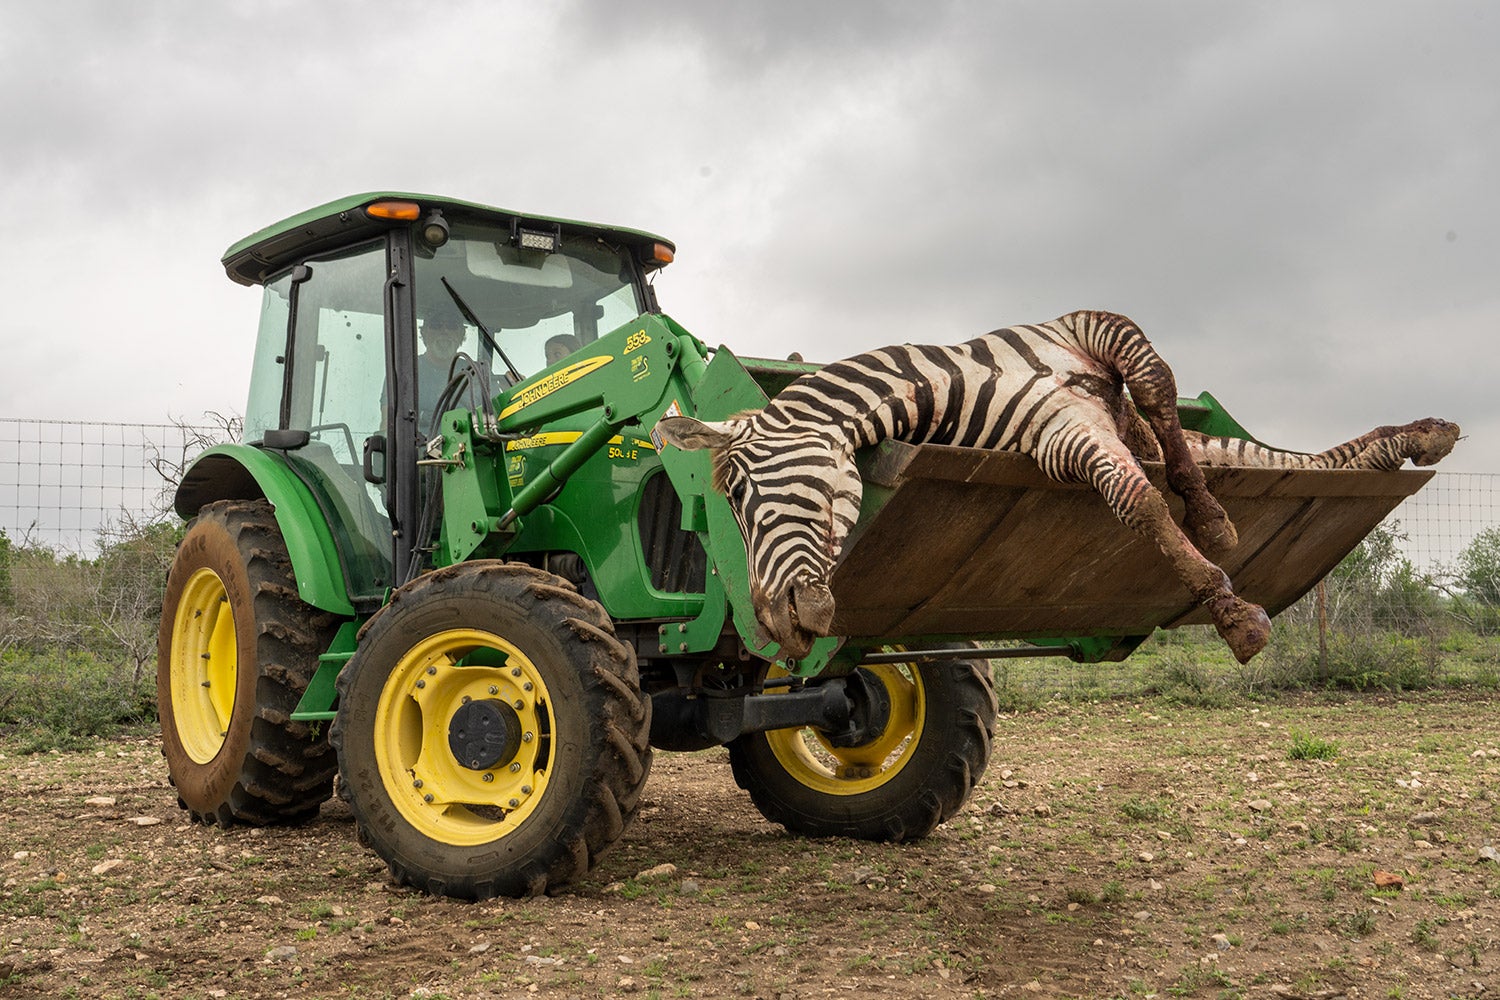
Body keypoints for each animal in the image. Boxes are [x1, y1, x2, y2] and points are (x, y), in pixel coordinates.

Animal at [654, 310, 1455, 666]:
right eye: (724, 507)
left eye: (739, 494)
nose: (774, 625)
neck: (948, 379)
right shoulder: (1058, 438)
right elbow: (1136, 501)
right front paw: (1230, 608)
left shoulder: (1093, 332)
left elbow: (1156, 401)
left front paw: (1217, 539)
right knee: (1291, 460)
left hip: (1179, 414)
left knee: (1260, 447)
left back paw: (1418, 436)